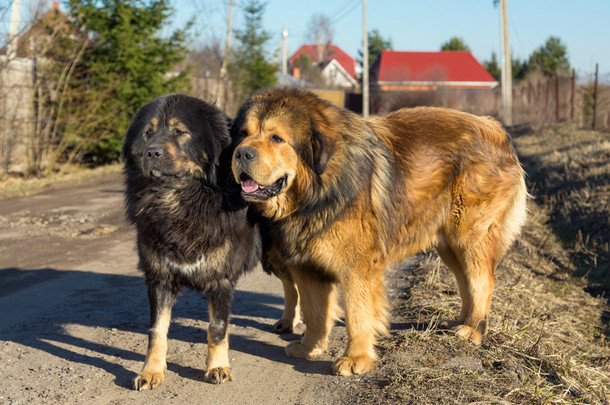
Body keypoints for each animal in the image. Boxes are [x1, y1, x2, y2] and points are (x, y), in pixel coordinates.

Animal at [121, 93, 258, 386]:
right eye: (147, 133)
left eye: (179, 132)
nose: (152, 152)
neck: (177, 199)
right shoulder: (159, 278)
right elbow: (157, 330)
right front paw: (150, 371)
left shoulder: (221, 278)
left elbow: (217, 327)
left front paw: (218, 367)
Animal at [230, 87, 524, 374]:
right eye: (243, 133)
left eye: (277, 138)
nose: (242, 153)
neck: (316, 193)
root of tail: (496, 129)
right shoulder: (306, 266)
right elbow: (314, 313)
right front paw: (309, 347)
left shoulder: (356, 267)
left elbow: (357, 313)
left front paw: (356, 358)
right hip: (448, 243)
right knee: (465, 283)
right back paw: (459, 323)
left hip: (469, 236)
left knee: (482, 282)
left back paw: (473, 330)